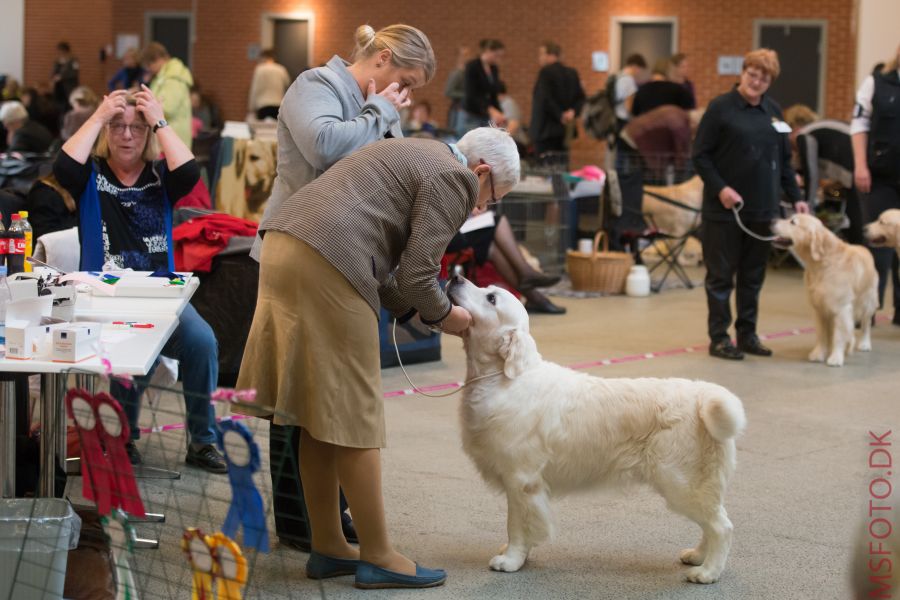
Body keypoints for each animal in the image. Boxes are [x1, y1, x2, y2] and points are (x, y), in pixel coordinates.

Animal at [448, 278, 744, 584]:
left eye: (491, 298)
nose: (455, 278)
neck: (503, 379)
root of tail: (703, 395)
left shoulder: (521, 479)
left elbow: (516, 525)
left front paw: (511, 560)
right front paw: (518, 554)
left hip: (680, 482)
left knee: (722, 527)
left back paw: (708, 572)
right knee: (712, 522)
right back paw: (697, 556)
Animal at [772, 213, 880, 368]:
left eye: (793, 222)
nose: (772, 220)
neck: (822, 263)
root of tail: (865, 249)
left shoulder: (841, 308)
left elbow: (839, 335)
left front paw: (835, 358)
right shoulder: (819, 308)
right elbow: (822, 334)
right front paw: (819, 354)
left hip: (867, 300)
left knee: (866, 323)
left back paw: (864, 343)